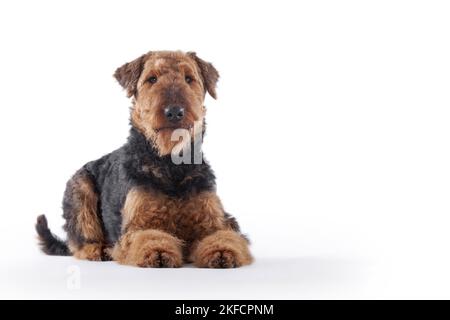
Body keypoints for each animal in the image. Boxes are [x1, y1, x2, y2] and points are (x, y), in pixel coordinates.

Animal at [35, 50, 253, 268]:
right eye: (152, 79)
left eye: (189, 78)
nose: (175, 112)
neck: (171, 165)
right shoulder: (138, 224)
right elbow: (149, 237)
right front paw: (158, 252)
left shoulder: (215, 222)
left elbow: (225, 236)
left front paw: (222, 251)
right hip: (81, 190)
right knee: (79, 241)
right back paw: (98, 250)